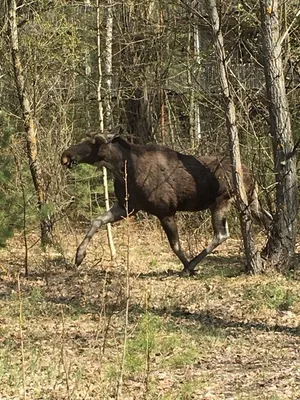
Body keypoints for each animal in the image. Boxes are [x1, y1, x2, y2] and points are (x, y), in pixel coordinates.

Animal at [61, 127, 272, 276]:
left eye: (93, 142)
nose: (66, 154)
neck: (123, 170)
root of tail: (251, 174)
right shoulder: (128, 207)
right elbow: (97, 221)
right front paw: (79, 256)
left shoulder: (165, 211)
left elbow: (175, 245)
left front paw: (188, 267)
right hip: (252, 199)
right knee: (268, 219)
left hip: (222, 200)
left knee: (221, 234)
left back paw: (191, 265)